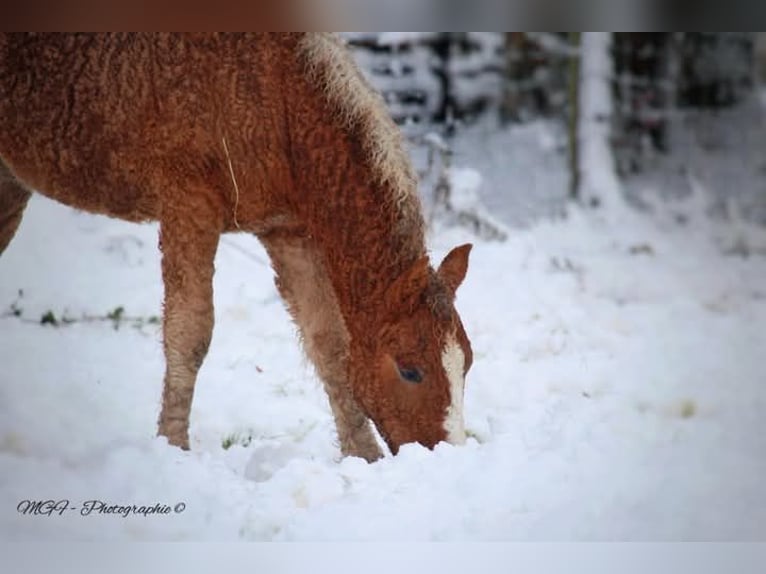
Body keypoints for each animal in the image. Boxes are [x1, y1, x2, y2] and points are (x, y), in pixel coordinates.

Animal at [0, 33, 474, 464]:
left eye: (466, 362)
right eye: (410, 370)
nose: (447, 459)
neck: (278, 98)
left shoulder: (289, 232)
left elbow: (330, 345)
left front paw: (363, 457)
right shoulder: (188, 205)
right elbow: (189, 333)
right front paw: (174, 447)